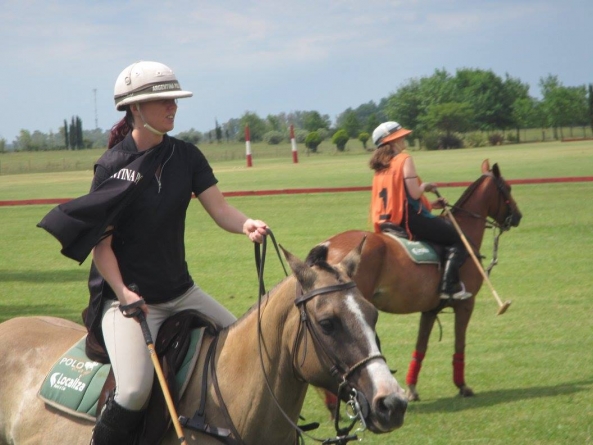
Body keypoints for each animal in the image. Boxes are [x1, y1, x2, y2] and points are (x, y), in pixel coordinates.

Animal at [320, 158, 520, 404]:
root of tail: (328, 244)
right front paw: (462, 386)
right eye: (508, 188)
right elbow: (459, 343)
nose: (518, 217)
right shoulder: (466, 304)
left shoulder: (430, 310)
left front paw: (412, 389)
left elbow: (420, 347)